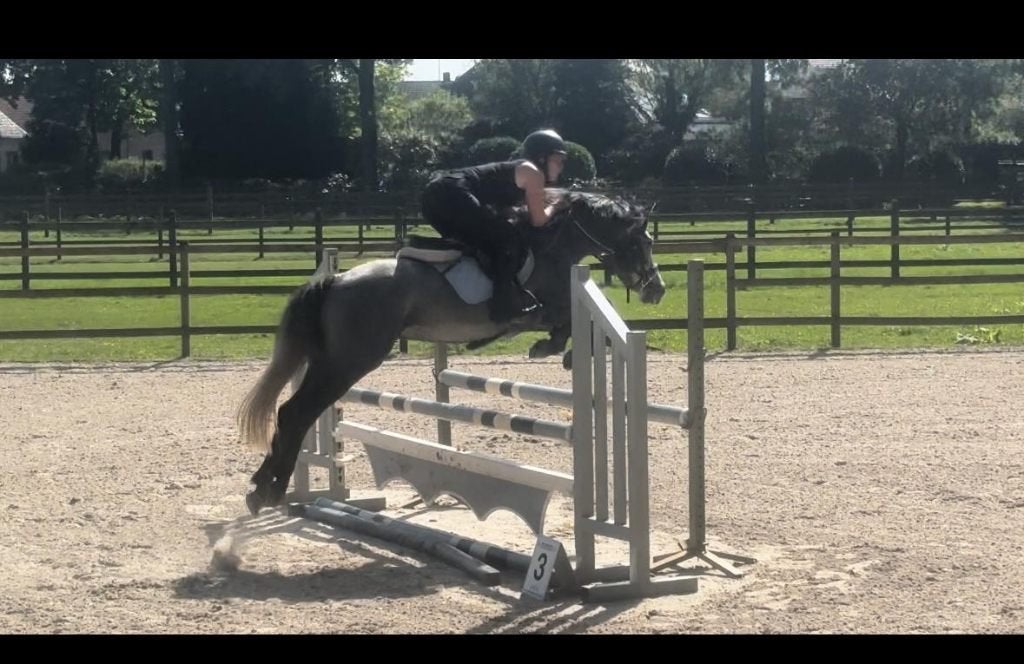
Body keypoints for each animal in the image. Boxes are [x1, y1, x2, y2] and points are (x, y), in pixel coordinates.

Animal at [236, 189, 666, 514]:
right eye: (643, 242)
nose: (656, 290)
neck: (552, 246)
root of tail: (336, 280)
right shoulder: (540, 309)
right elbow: (561, 322)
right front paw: (553, 350)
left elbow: (564, 324)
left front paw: (554, 350)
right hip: (349, 362)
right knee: (299, 412)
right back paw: (271, 489)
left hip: (329, 359)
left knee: (291, 412)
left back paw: (261, 485)